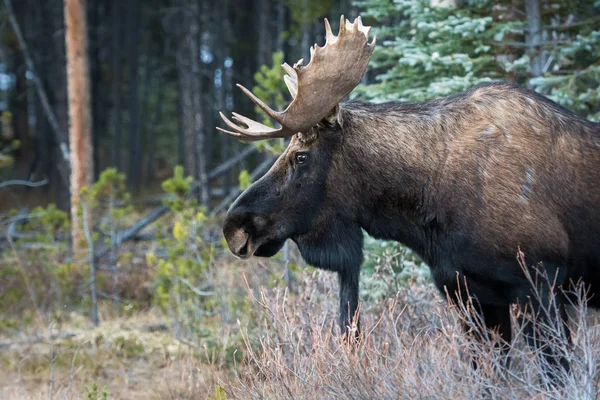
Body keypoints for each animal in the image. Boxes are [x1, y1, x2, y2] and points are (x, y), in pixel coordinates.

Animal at [218, 16, 600, 376]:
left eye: (300, 156)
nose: (234, 226)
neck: (426, 209)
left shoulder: (540, 282)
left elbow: (556, 373)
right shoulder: (469, 292)